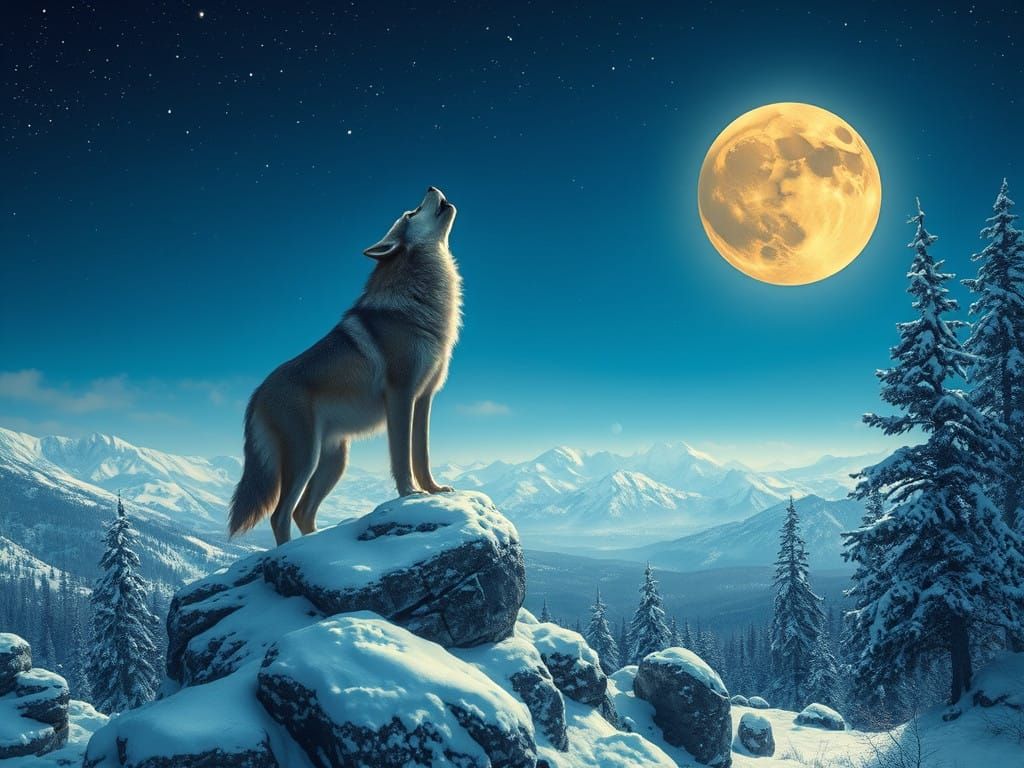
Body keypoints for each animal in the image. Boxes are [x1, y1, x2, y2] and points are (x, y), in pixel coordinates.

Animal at [228, 187, 462, 545]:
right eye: (411, 213)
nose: (431, 188)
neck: (419, 307)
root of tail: (257, 393)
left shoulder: (424, 399)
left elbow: (421, 455)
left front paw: (434, 490)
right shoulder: (401, 396)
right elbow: (402, 456)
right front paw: (410, 493)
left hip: (335, 461)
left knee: (301, 512)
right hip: (305, 460)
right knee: (280, 515)